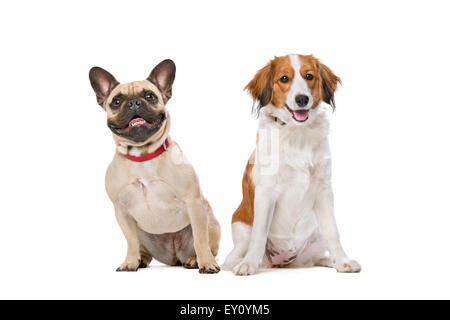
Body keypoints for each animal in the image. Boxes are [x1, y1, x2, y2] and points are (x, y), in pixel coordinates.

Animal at [224, 54, 362, 276]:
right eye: (284, 79)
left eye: (309, 76)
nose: (302, 99)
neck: (297, 132)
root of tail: (283, 261)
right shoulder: (266, 192)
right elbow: (260, 233)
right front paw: (248, 264)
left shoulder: (323, 190)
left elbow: (333, 231)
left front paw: (343, 261)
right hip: (242, 229)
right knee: (231, 258)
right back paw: (243, 262)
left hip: (315, 236)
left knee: (314, 258)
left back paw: (330, 261)